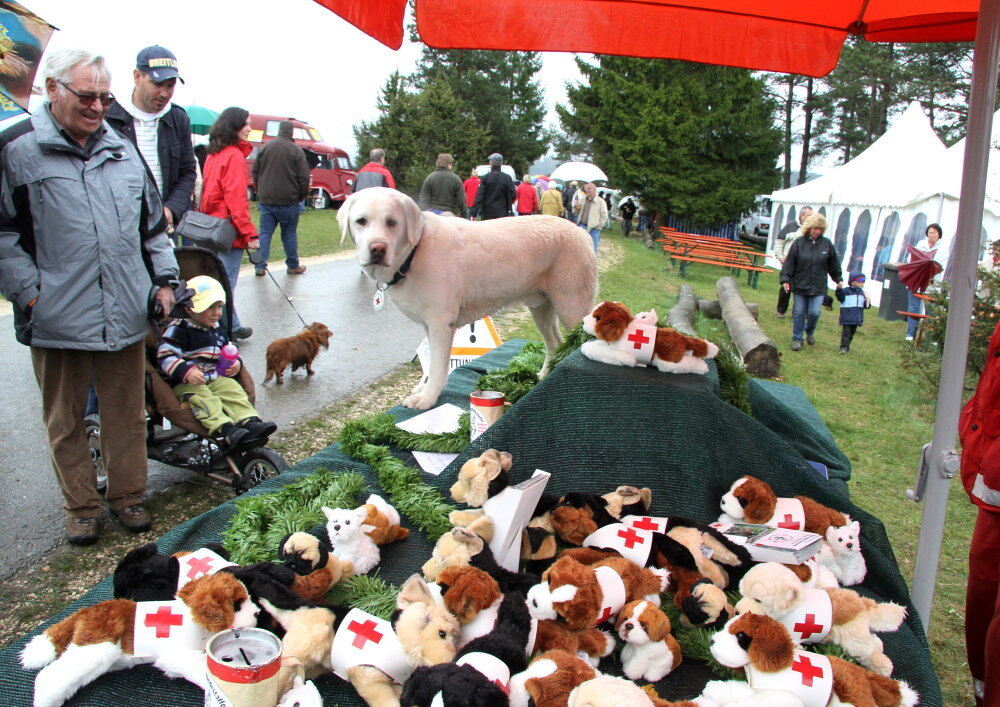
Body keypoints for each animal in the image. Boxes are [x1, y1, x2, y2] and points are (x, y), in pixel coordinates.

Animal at [340, 188, 596, 410]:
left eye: (392, 222)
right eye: (361, 221)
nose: (377, 249)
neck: (414, 253)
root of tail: (581, 232)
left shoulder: (441, 324)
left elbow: (438, 366)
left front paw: (427, 398)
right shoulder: (428, 325)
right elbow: (431, 363)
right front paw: (422, 390)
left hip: (572, 306)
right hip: (542, 308)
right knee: (555, 343)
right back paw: (543, 376)